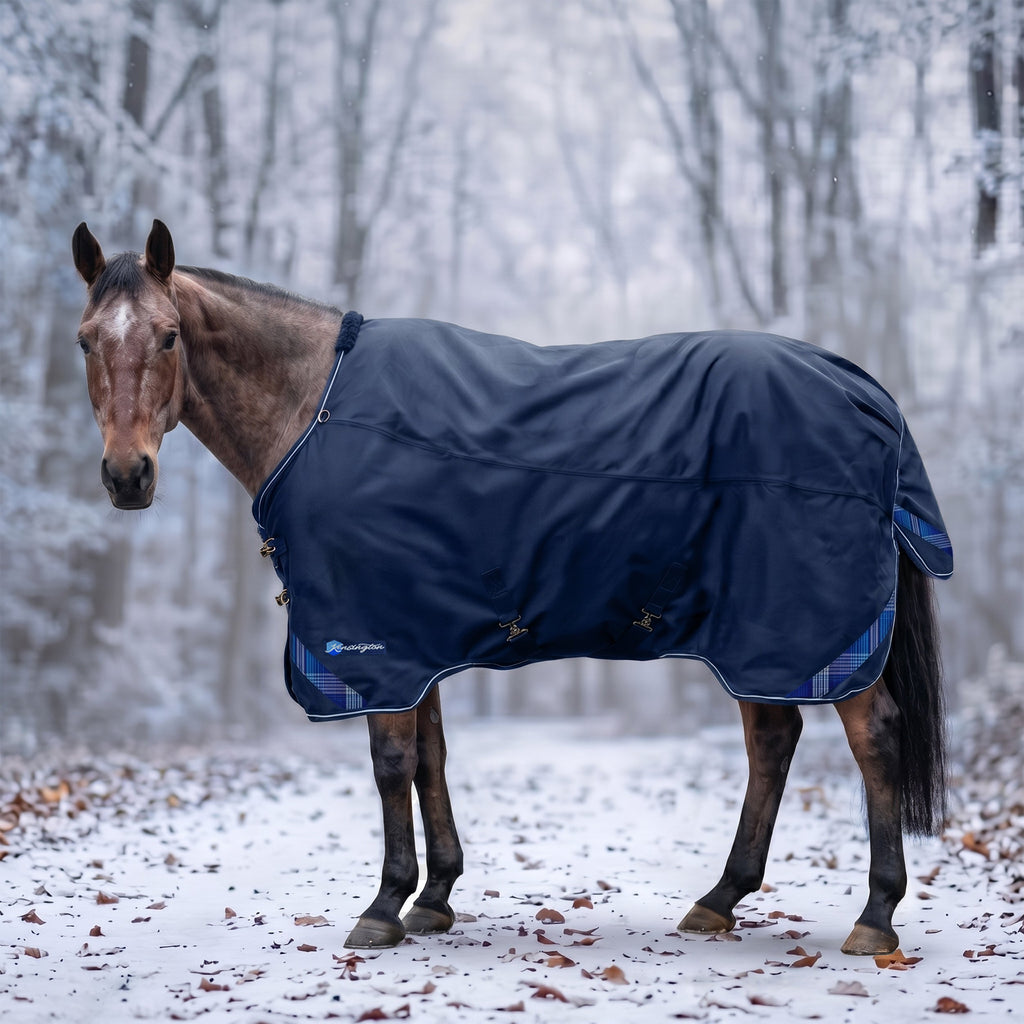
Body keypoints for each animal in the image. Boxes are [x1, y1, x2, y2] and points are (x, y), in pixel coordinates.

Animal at [72, 219, 951, 956]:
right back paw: (720, 900)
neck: (315, 407)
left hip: (812, 627)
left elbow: (391, 762)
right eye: (84, 341)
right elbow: (429, 757)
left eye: (169, 335)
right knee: (773, 740)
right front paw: (434, 897)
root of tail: (863, 390)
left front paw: (384, 906)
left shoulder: (373, 640)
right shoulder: (412, 636)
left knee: (873, 739)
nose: (126, 476)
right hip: (760, 634)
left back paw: (875, 916)